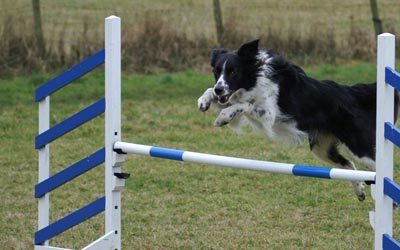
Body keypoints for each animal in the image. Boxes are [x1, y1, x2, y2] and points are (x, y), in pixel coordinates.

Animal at [198, 39, 398, 201]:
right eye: (216, 71)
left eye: (233, 72)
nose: (219, 89)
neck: (254, 77)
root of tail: (350, 93)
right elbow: (223, 97)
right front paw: (204, 100)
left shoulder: (268, 114)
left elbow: (245, 105)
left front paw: (223, 117)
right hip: (321, 149)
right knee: (349, 164)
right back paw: (360, 191)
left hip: (359, 147)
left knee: (378, 169)